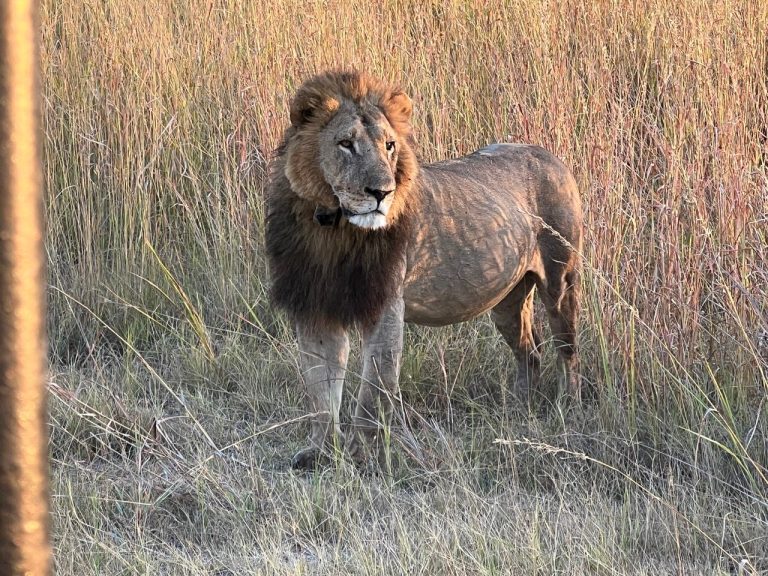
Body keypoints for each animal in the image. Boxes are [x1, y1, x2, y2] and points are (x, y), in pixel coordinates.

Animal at [266, 70, 583, 469]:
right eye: (345, 144)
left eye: (389, 146)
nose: (381, 192)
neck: (332, 231)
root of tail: (549, 155)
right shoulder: (316, 308)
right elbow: (321, 392)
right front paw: (320, 452)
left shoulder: (386, 304)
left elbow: (373, 392)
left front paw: (361, 454)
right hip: (506, 299)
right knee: (531, 350)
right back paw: (518, 411)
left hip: (561, 280)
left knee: (567, 349)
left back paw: (567, 407)